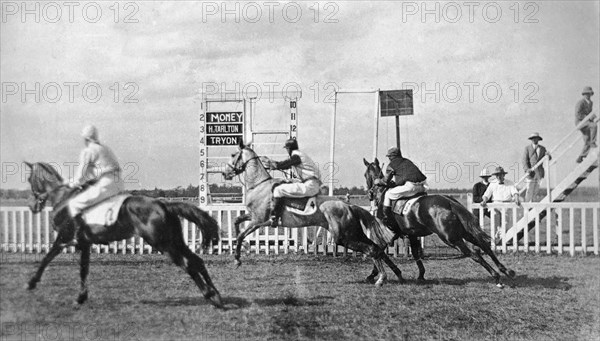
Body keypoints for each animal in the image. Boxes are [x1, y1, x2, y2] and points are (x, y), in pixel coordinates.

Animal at [22, 161, 225, 306]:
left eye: (30, 179)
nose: (32, 205)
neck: (64, 199)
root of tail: (163, 204)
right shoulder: (84, 244)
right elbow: (83, 270)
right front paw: (81, 297)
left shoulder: (64, 238)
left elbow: (47, 257)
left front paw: (31, 282)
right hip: (175, 241)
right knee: (197, 261)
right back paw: (217, 295)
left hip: (163, 244)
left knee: (188, 264)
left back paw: (209, 294)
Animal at [224, 139, 408, 286]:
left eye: (233, 154)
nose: (225, 173)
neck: (259, 185)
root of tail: (348, 206)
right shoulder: (253, 216)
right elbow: (236, 222)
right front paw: (241, 250)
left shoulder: (258, 220)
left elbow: (240, 235)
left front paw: (237, 259)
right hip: (351, 233)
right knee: (376, 247)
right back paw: (391, 275)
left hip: (344, 236)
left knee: (372, 249)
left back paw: (381, 278)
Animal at [364, 158, 512, 286]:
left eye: (366, 175)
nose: (370, 194)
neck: (382, 192)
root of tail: (450, 202)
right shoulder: (411, 234)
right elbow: (415, 253)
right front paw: (421, 275)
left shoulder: (390, 232)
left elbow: (379, 250)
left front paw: (375, 275)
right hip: (463, 233)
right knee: (484, 246)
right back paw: (506, 270)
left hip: (450, 238)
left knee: (474, 254)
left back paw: (496, 276)